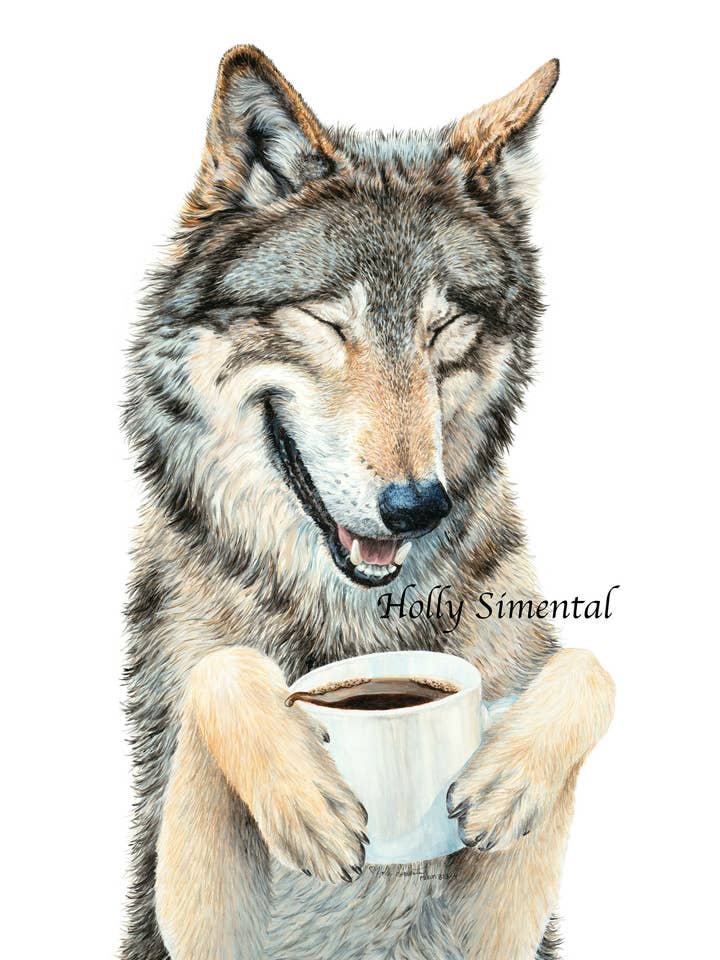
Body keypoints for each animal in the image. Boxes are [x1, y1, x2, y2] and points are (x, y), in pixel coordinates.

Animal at [123, 45, 615, 960]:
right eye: (327, 321)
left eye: (443, 328)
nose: (418, 506)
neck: (354, 621)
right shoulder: (180, 906)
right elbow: (221, 667)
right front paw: (304, 797)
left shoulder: (500, 923)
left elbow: (585, 665)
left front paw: (508, 777)